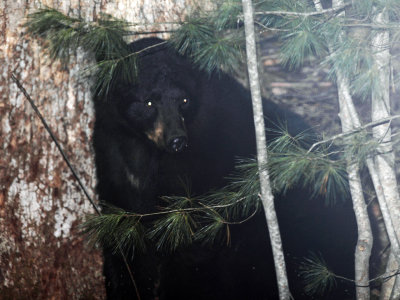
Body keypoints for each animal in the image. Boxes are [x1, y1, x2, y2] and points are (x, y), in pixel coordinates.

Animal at [93, 38, 306, 300]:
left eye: (184, 101)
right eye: (149, 102)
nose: (177, 140)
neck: (148, 152)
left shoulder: (203, 169)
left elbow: (193, 241)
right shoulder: (113, 158)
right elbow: (123, 235)